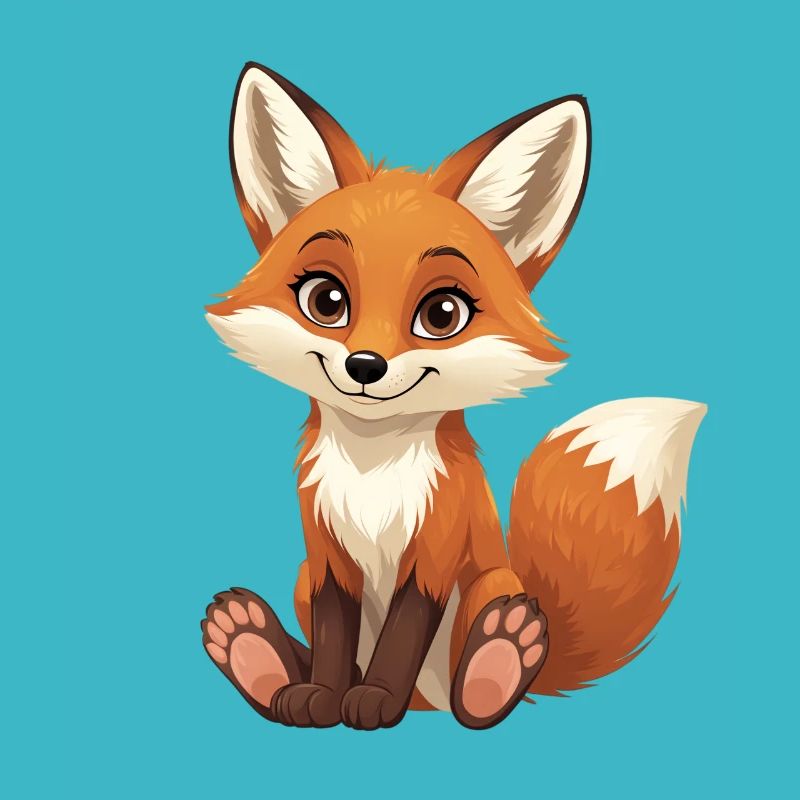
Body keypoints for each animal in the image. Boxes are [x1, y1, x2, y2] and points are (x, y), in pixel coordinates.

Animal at [201, 62, 707, 730]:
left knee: (472, 688)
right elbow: (334, 643)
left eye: (442, 314)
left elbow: (403, 633)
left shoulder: (436, 548)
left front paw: (374, 700)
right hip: (301, 578)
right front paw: (321, 697)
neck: (373, 472)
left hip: (492, 586)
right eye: (325, 301)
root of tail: (430, 702)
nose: (365, 366)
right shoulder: (326, 556)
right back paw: (257, 653)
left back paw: (498, 663)